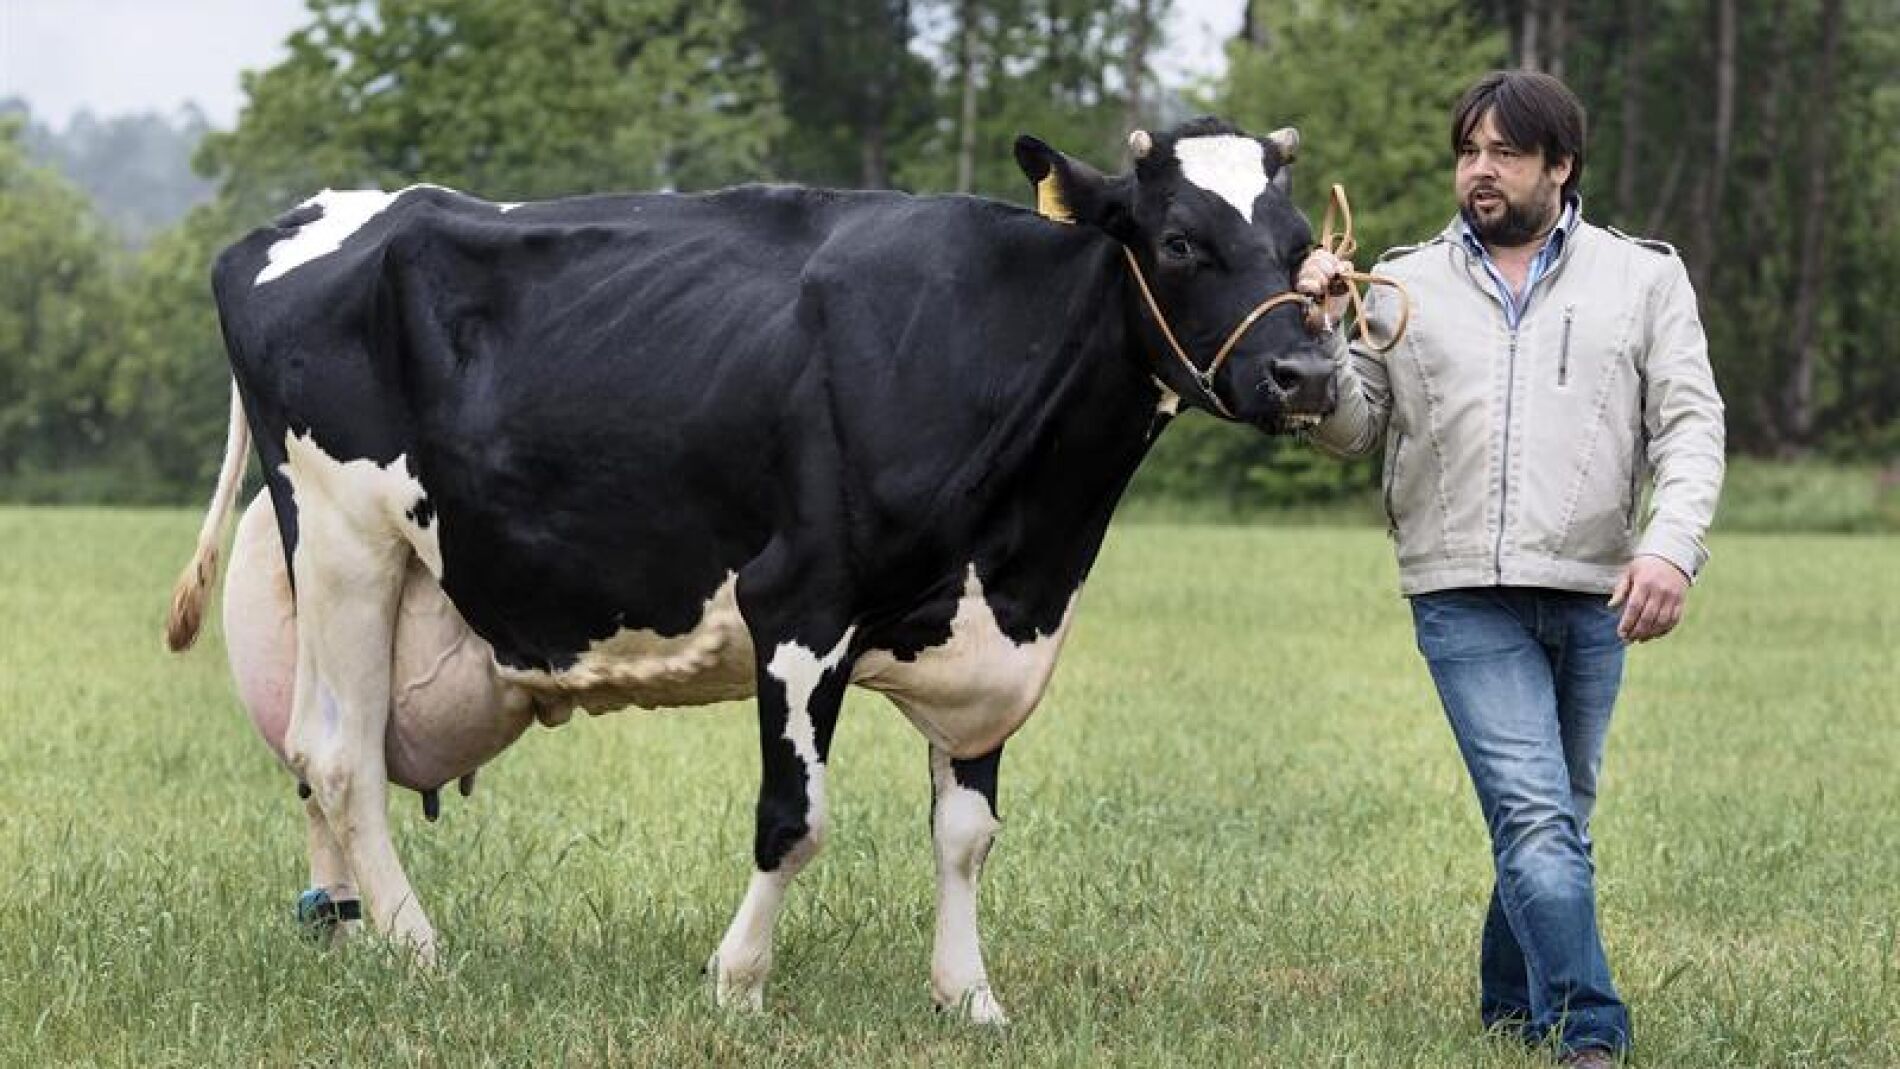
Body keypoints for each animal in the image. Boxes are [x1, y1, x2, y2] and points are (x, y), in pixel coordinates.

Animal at [165, 116, 1336, 1023]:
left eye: (1301, 251)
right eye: (1179, 240)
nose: (1308, 373)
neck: (1028, 545)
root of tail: (300, 219)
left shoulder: (993, 639)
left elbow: (966, 835)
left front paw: (968, 996)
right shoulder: (801, 607)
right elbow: (794, 820)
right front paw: (736, 982)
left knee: (312, 751)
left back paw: (352, 933)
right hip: (345, 536)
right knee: (343, 756)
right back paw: (419, 949)